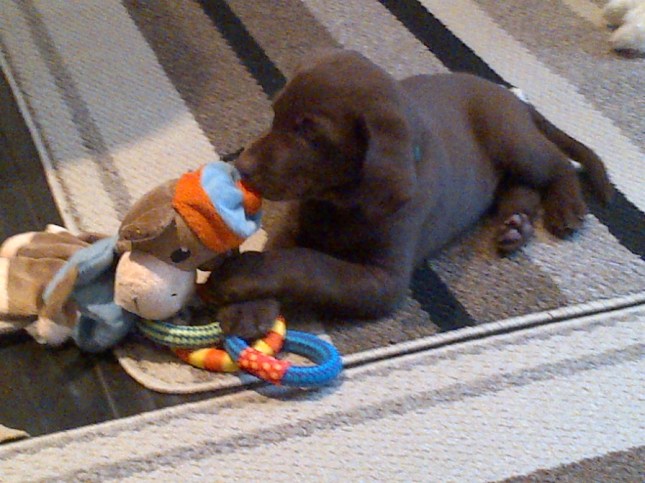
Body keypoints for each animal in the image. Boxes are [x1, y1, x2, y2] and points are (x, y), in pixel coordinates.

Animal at [204, 50, 613, 339]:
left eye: (310, 134)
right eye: (275, 115)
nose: (242, 167)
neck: (341, 203)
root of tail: (507, 93)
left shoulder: (383, 280)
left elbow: (307, 264)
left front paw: (237, 277)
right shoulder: (295, 222)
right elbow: (280, 251)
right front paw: (249, 308)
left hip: (512, 139)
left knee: (557, 163)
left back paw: (567, 207)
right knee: (520, 187)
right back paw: (516, 226)